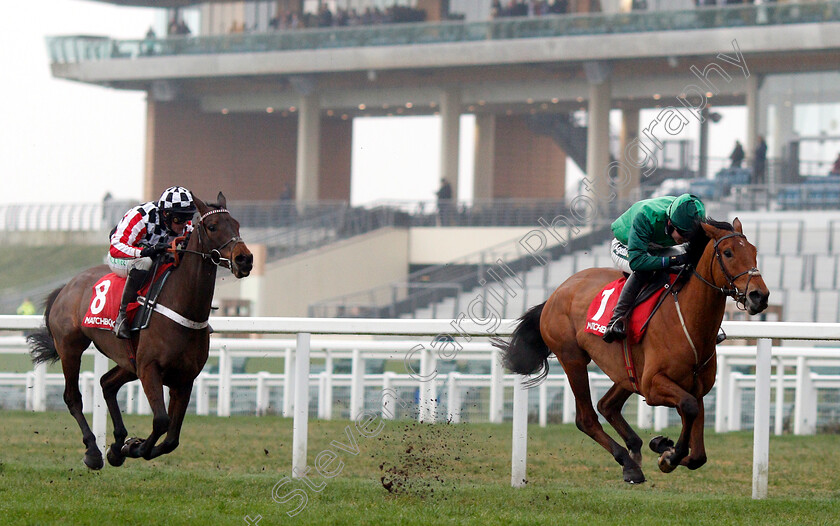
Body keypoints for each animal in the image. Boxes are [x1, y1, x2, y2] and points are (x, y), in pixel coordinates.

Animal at [27, 193, 253, 470]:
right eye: (212, 226)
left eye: (237, 225)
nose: (245, 259)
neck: (182, 307)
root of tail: (67, 286)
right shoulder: (150, 369)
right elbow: (161, 421)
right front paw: (132, 447)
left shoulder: (184, 378)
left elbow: (171, 439)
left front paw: (124, 447)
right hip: (71, 348)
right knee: (73, 397)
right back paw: (93, 451)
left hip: (128, 361)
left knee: (106, 384)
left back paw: (115, 443)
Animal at [492, 219, 768, 486]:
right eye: (728, 252)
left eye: (755, 251)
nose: (760, 295)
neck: (689, 321)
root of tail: (555, 294)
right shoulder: (653, 385)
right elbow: (688, 408)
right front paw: (668, 455)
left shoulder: (695, 387)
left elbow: (698, 452)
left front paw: (664, 447)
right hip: (572, 359)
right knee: (586, 418)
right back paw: (628, 463)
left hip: (625, 371)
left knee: (607, 405)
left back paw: (635, 449)